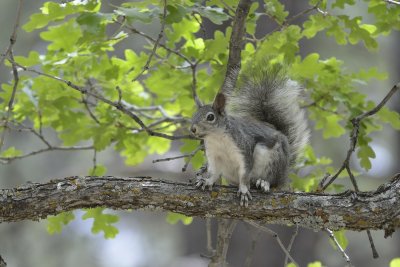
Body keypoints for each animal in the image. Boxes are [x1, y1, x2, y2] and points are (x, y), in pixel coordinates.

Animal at [190, 62, 310, 207]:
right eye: (194, 115)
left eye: (210, 117)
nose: (193, 129)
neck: (217, 138)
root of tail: (284, 173)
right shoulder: (214, 156)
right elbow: (214, 172)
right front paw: (207, 181)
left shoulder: (244, 147)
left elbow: (244, 173)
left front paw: (243, 190)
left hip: (274, 159)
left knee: (272, 181)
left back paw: (263, 182)